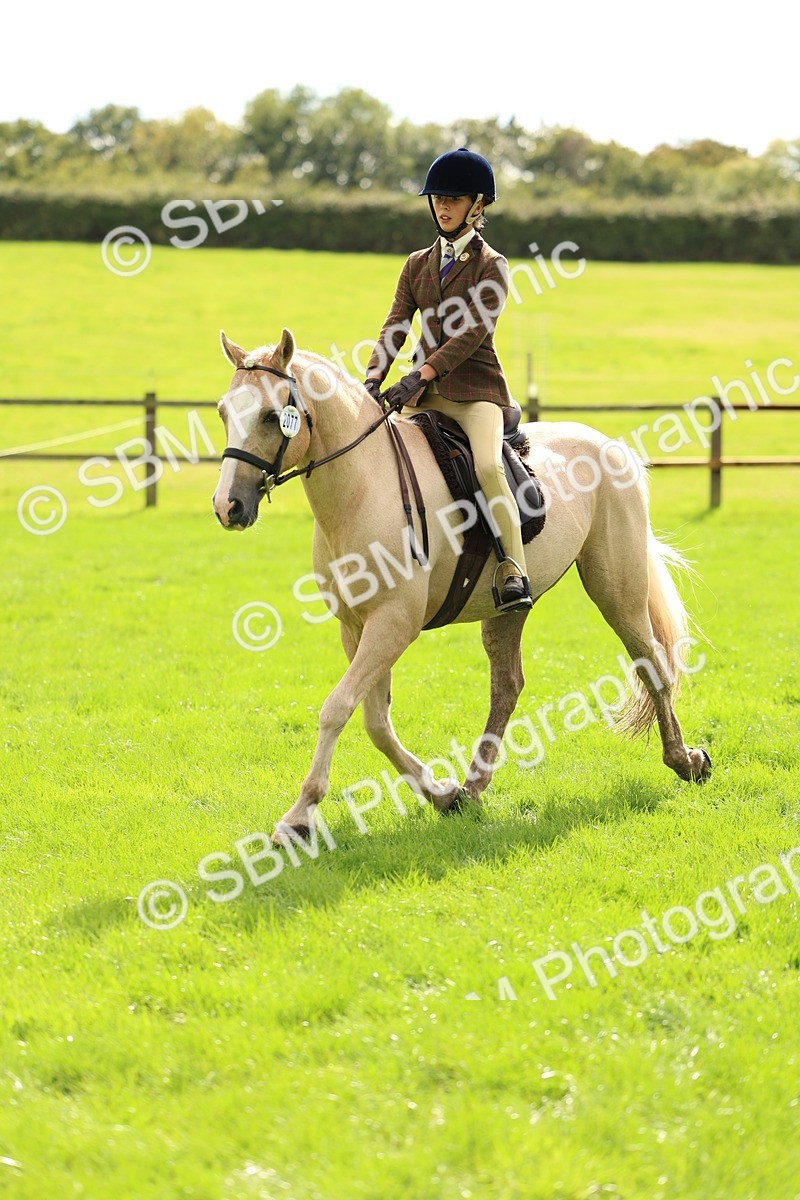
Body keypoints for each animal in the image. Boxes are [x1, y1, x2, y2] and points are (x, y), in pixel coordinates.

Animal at [212, 328, 712, 845]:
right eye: (225, 412)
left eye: (270, 415)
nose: (228, 506)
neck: (364, 486)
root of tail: (611, 445)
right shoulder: (356, 627)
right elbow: (375, 722)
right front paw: (441, 794)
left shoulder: (393, 624)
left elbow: (337, 709)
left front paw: (298, 818)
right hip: (510, 608)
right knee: (508, 685)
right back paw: (472, 787)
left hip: (617, 590)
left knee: (651, 662)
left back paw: (686, 761)